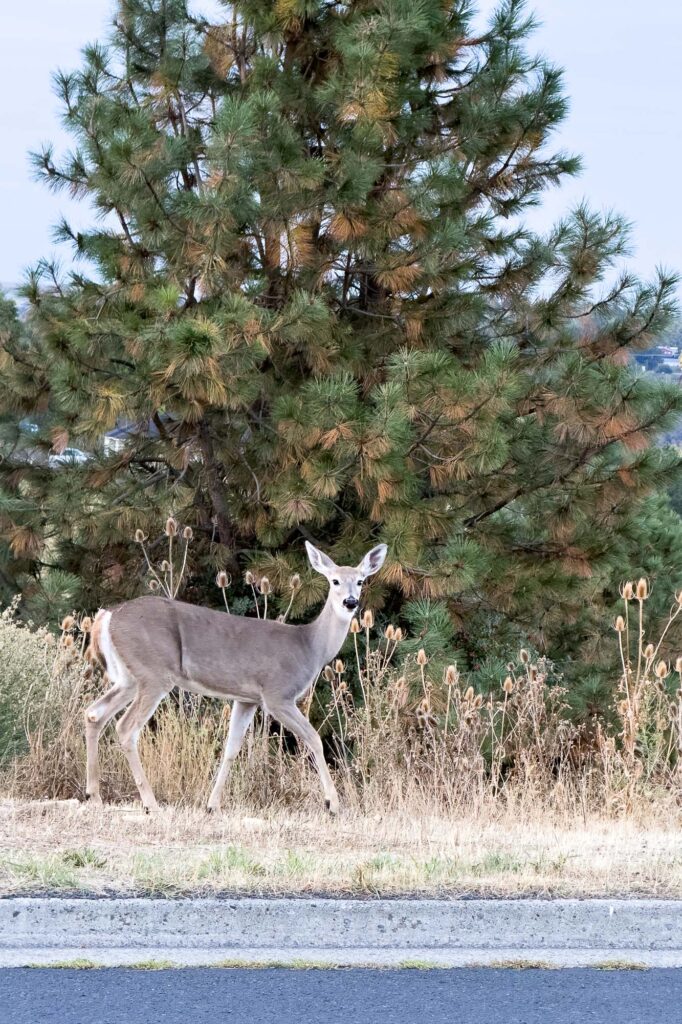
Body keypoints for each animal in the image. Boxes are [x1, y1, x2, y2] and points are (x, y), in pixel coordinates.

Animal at [84, 540, 387, 815]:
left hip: (128, 677)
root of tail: (107, 615)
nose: (351, 602)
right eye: (335, 581)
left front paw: (212, 805)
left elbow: (231, 747)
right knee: (125, 727)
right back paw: (150, 803)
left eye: (360, 581)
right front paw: (333, 804)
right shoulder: (277, 694)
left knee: (94, 713)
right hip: (154, 672)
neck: (309, 646)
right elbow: (314, 739)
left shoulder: (247, 699)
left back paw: (94, 796)